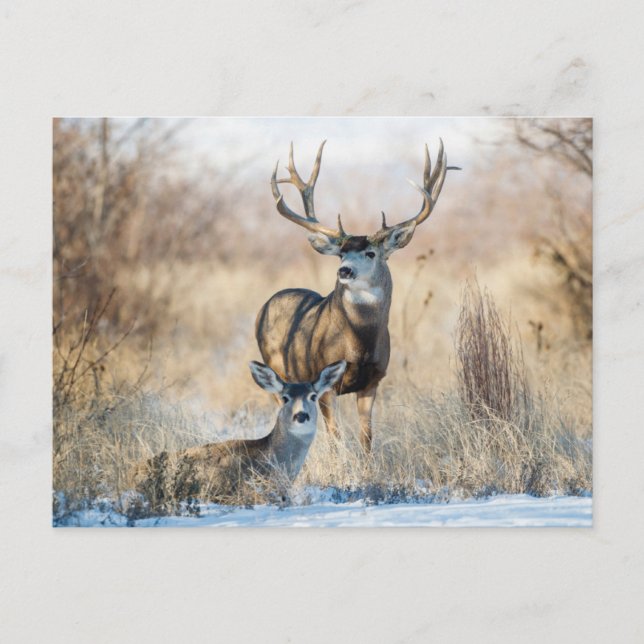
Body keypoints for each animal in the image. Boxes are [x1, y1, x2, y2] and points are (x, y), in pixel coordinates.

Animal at [256, 140, 454, 452]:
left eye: (370, 253)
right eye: (341, 253)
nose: (344, 270)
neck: (359, 343)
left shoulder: (373, 380)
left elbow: (366, 438)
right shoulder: (324, 382)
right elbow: (336, 438)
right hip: (277, 369)